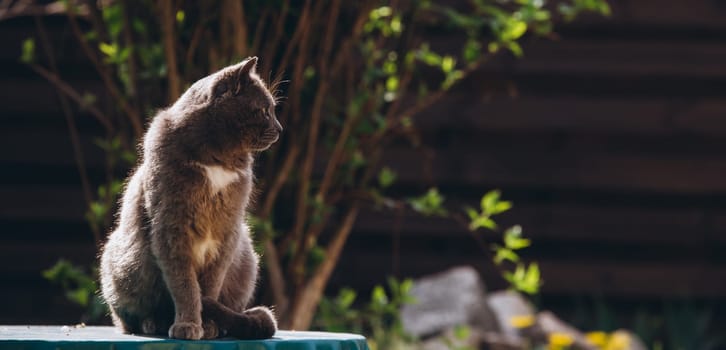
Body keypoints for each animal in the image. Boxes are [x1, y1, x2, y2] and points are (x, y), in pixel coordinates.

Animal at [101, 56, 282, 340]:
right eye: (265, 110)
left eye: (273, 109)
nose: (280, 128)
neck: (217, 159)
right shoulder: (171, 228)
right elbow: (184, 284)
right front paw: (188, 324)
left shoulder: (227, 233)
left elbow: (209, 285)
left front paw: (207, 325)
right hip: (121, 262)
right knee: (127, 319)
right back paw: (152, 323)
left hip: (247, 255)